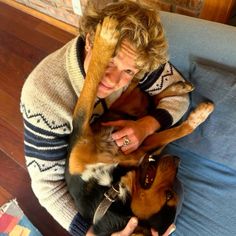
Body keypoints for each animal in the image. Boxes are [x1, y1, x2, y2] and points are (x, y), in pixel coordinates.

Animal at [64, 17, 214, 235]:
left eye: (169, 195)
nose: (176, 159)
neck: (110, 191)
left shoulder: (88, 130)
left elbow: (91, 80)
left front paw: (106, 39)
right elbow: (91, 81)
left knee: (149, 100)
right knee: (147, 96)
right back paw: (178, 87)